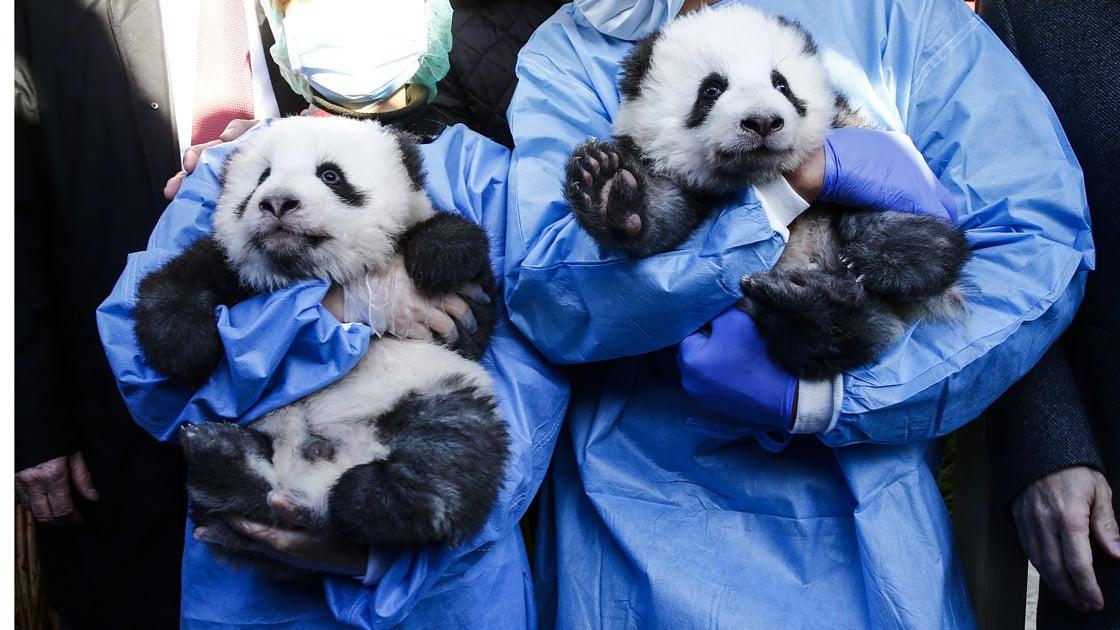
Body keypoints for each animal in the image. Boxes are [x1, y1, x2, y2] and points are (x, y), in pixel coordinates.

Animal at [133, 116, 510, 567]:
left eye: (330, 175)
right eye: (263, 177)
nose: (278, 202)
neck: (311, 272)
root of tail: (310, 482)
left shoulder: (455, 315)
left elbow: (473, 309)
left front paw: (440, 254)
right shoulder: (232, 270)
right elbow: (177, 280)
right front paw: (184, 343)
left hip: (436, 390)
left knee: (452, 451)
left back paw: (372, 496)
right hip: (266, 426)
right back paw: (217, 454)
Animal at [564, 3, 971, 380]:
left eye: (781, 84)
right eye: (712, 89)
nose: (762, 121)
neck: (756, 176)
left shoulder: (844, 127)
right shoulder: (669, 169)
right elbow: (662, 218)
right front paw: (607, 189)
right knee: (831, 338)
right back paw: (802, 303)